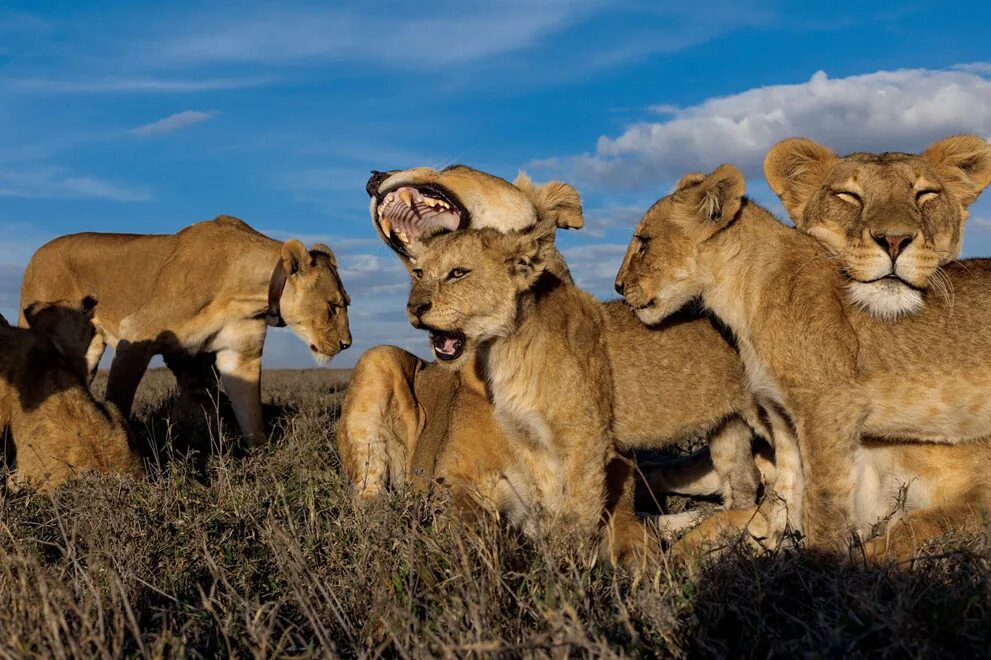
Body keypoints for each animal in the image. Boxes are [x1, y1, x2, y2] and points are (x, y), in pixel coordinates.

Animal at [18, 214, 352, 446]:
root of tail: (36, 253)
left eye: (346, 303)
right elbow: (119, 398)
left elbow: (251, 416)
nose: (347, 344)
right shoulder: (136, 333)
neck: (244, 293)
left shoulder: (239, 354)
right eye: (333, 306)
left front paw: (261, 459)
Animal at [338, 165, 804, 564]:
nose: (373, 176)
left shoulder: (605, 470)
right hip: (377, 360)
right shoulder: (456, 485)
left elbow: (629, 535)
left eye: (453, 166)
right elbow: (472, 536)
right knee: (367, 497)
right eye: (419, 272)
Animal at [616, 162, 991, 556]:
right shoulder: (780, 413)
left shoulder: (830, 409)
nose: (618, 286)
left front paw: (824, 562)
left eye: (643, 242)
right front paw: (772, 550)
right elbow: (786, 494)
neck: (741, 295)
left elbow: (826, 502)